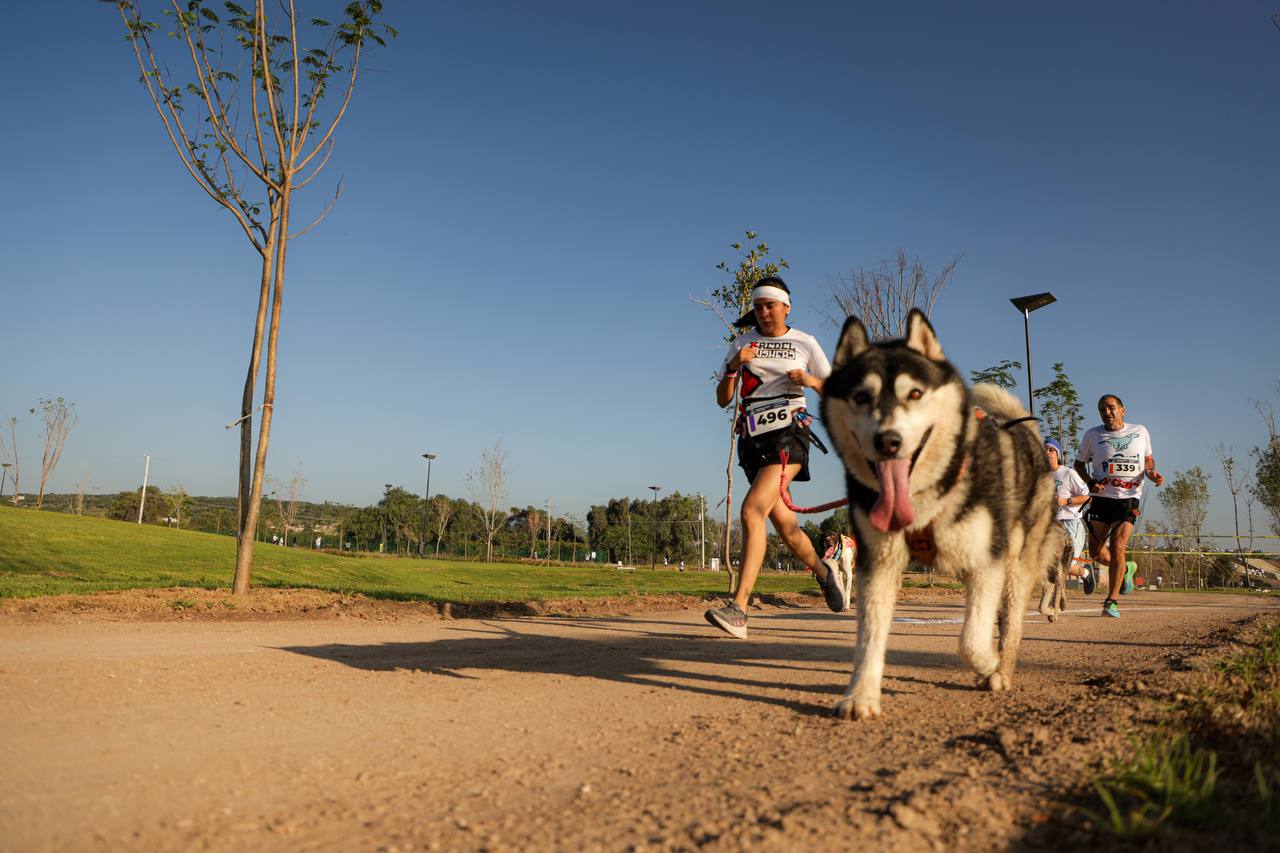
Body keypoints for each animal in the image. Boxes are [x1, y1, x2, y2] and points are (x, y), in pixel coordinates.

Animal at [819, 308, 1059, 712]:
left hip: (1016, 562)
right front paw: (861, 695)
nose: (888, 441)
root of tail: (1031, 441)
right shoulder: (878, 563)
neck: (927, 497)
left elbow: (970, 641)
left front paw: (992, 667)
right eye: (861, 396)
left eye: (915, 393)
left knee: (1012, 621)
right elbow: (868, 639)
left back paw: (1005, 664)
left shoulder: (987, 562)